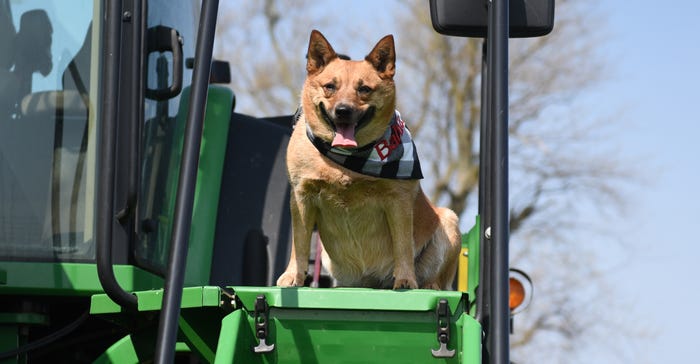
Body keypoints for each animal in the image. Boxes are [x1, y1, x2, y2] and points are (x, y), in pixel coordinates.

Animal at [276, 29, 462, 288]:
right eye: (330, 86)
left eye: (364, 89)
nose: (343, 111)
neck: (346, 161)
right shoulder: (302, 197)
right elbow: (299, 243)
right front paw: (293, 275)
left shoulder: (399, 200)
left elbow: (403, 246)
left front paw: (405, 280)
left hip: (449, 220)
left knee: (435, 277)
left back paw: (426, 284)